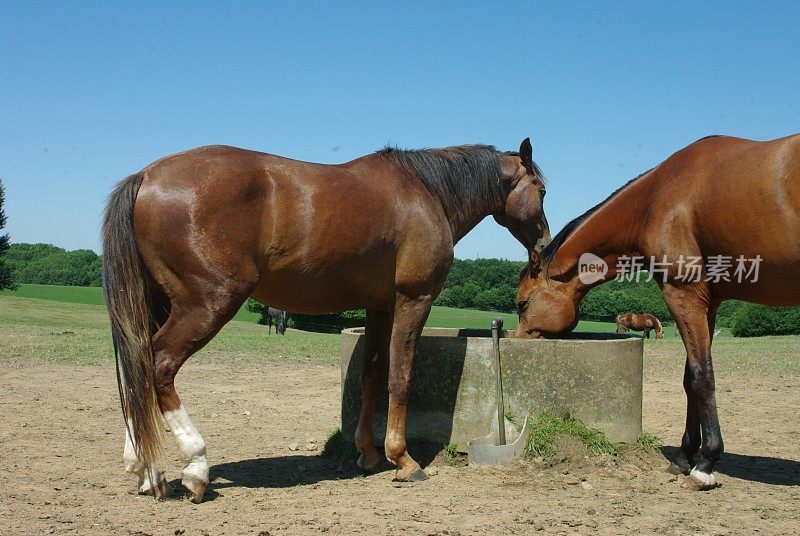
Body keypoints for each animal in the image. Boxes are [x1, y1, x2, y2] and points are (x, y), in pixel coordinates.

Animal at [101, 138, 552, 502]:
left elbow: (371, 377)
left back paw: (145, 470)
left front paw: (368, 454)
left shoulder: (379, 308)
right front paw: (402, 459)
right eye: (542, 190)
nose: (544, 248)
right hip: (207, 304)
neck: (426, 192)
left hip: (160, 305)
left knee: (137, 369)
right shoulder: (413, 300)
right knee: (159, 365)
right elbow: (400, 377)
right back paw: (195, 466)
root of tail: (145, 176)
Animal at [512, 133, 800, 490]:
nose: (515, 340)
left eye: (523, 303)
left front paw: (706, 463)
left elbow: (702, 377)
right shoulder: (708, 304)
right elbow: (690, 378)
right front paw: (684, 456)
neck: (655, 200)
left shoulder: (683, 295)